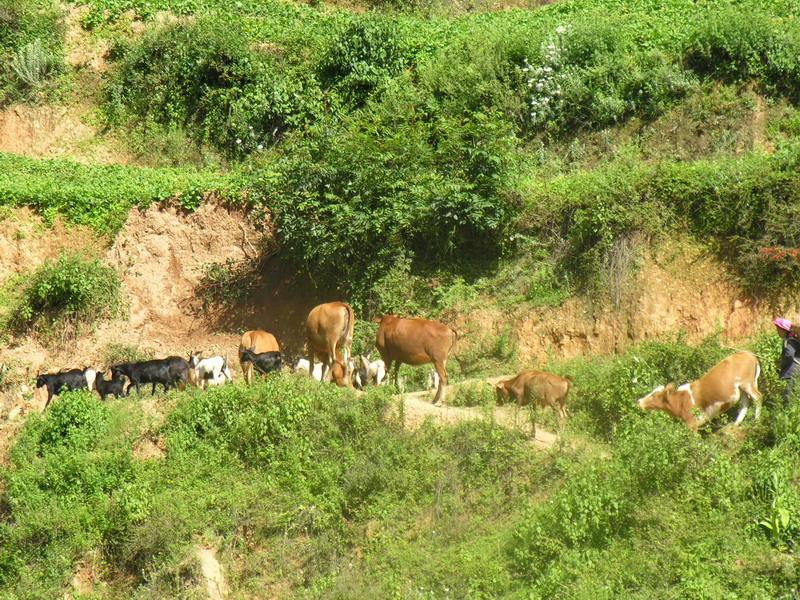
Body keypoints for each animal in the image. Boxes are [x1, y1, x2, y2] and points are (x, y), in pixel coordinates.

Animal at [636, 352, 764, 432]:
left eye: (655, 395)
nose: (639, 401)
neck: (680, 400)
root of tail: (749, 354)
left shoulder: (691, 424)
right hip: (742, 388)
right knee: (745, 403)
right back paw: (736, 424)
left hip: (747, 383)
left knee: (758, 397)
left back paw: (756, 421)